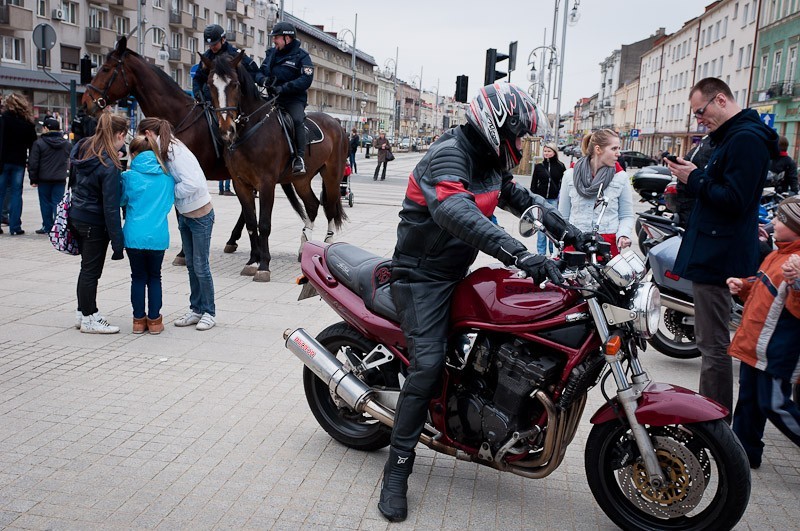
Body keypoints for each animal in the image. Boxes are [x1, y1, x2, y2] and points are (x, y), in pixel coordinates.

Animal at [81, 37, 310, 272]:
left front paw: (184, 253)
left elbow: (184, 214)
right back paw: (235, 241)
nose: (85, 102)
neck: (177, 118)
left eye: (106, 69)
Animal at [198, 50, 346, 282]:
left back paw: (327, 244)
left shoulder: (266, 184)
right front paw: (252, 262)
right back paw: (304, 247)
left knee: (329, 207)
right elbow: (251, 224)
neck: (252, 130)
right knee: (312, 205)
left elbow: (264, 224)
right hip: (301, 179)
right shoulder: (241, 184)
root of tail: (336, 123)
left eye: (235, 84)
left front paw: (264, 266)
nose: (226, 130)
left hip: (332, 176)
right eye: (211, 85)